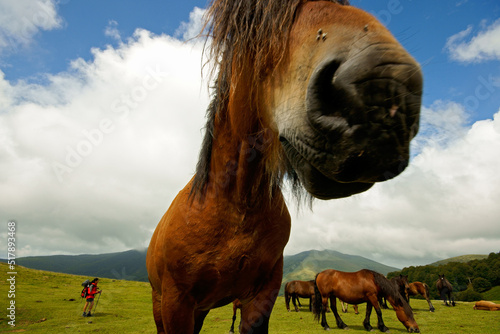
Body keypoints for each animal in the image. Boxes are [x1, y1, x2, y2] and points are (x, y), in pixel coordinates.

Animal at [145, 0, 422, 332]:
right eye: (254, 24)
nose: (385, 84)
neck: (235, 206)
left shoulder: (260, 297)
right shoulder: (177, 304)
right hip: (162, 304)